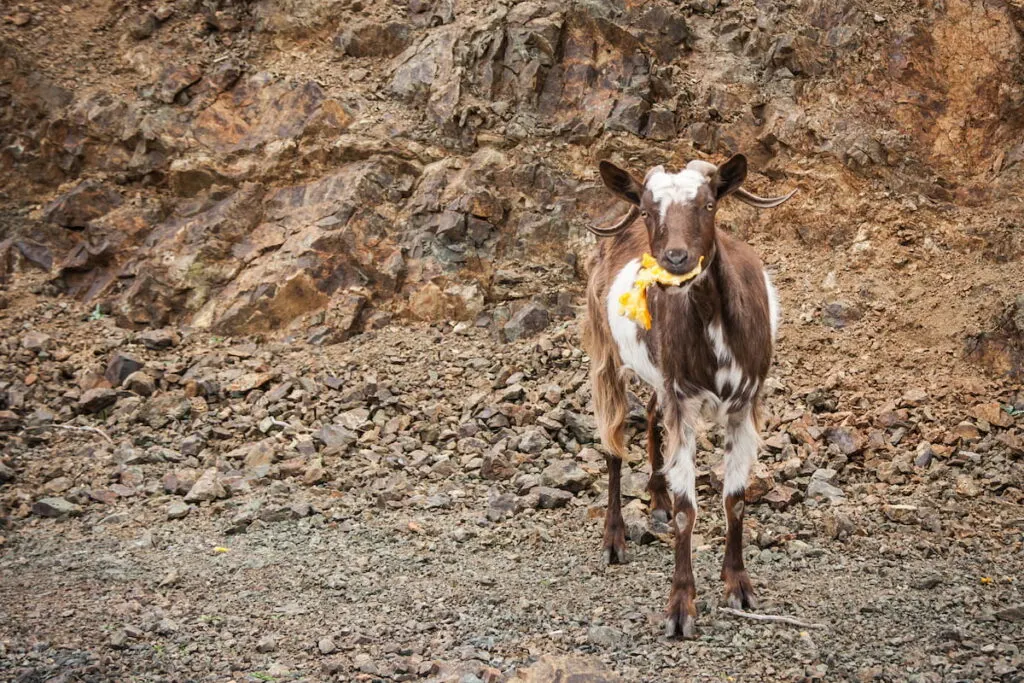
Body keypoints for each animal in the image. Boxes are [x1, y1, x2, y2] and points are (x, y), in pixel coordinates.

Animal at [581, 152, 794, 638]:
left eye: (709, 204)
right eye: (647, 210)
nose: (675, 258)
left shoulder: (743, 403)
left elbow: (735, 499)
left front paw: (739, 587)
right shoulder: (683, 398)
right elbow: (686, 509)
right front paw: (680, 608)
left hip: (658, 373)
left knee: (651, 417)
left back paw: (656, 497)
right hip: (605, 353)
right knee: (613, 443)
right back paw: (614, 539)